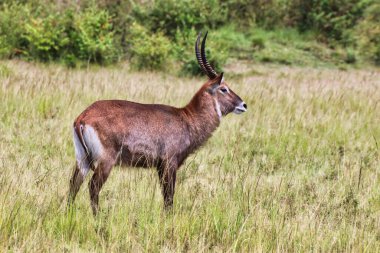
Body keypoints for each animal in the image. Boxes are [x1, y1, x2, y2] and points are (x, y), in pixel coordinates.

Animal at [67, 30, 246, 214]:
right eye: (224, 88)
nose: (243, 104)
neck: (187, 118)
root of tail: (83, 116)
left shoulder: (160, 167)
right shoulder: (169, 163)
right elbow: (169, 198)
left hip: (83, 159)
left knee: (73, 185)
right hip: (105, 161)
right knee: (93, 186)